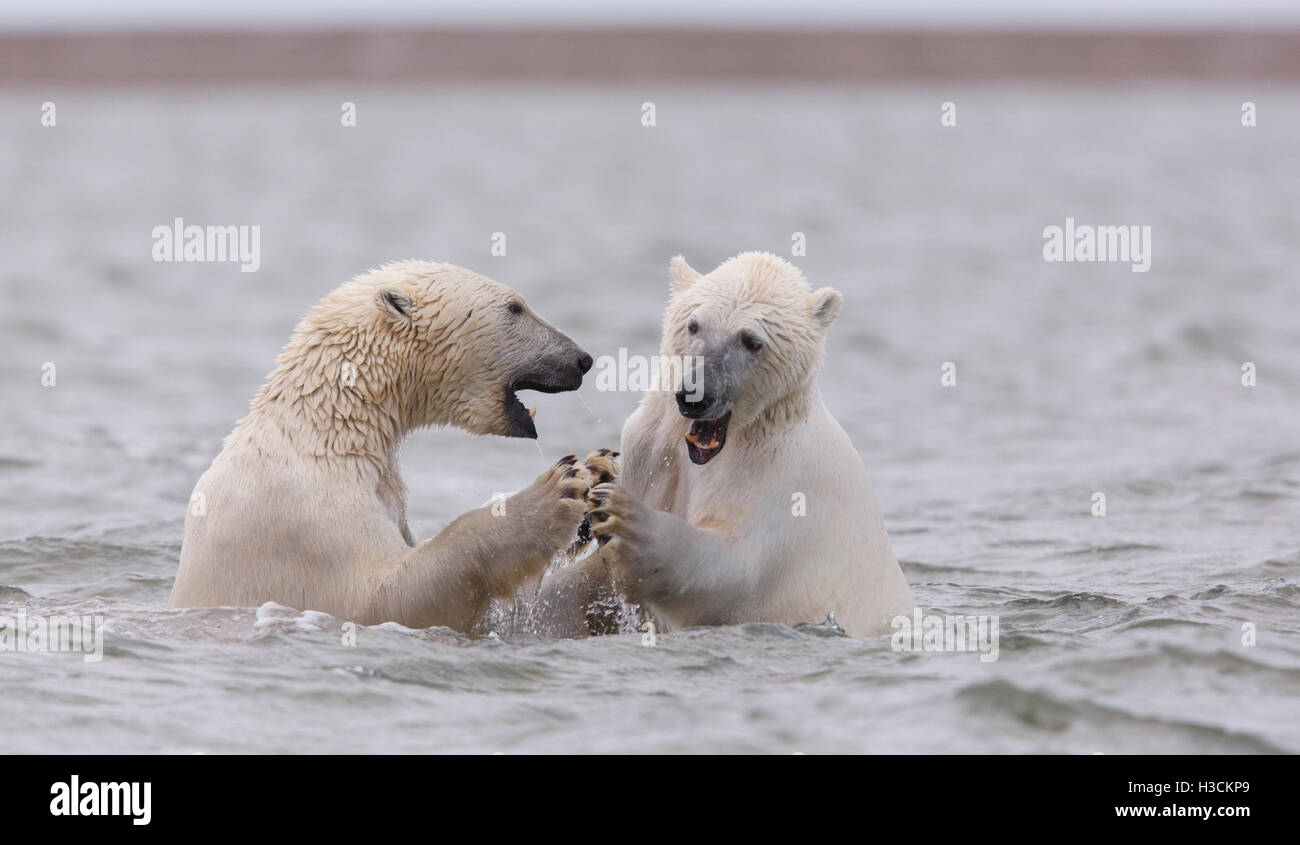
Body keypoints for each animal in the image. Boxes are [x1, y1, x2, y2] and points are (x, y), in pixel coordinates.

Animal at [167, 260, 613, 629]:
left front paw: (601, 476)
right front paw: (554, 490)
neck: (329, 433)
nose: (582, 359)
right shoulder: (301, 519)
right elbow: (388, 596)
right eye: (515, 307)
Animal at [538, 253, 915, 634]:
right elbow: (580, 588)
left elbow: (733, 570)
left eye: (751, 340)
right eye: (694, 325)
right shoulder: (653, 446)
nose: (695, 395)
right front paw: (591, 476)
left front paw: (621, 517)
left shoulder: (782, 486)